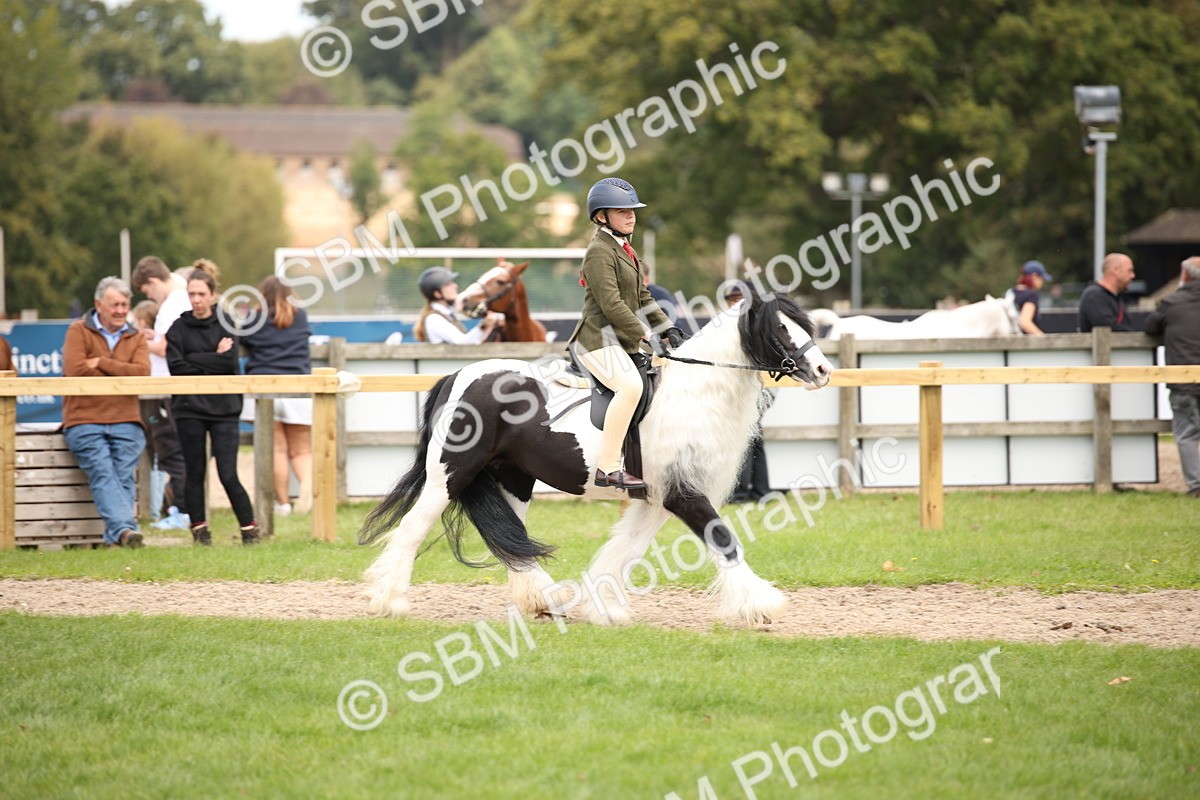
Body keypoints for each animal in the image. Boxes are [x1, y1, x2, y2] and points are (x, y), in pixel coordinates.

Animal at [359, 290, 834, 627]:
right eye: (781, 329)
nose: (823, 371)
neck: (694, 394)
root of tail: (458, 374)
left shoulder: (656, 498)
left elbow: (624, 549)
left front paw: (603, 608)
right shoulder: (682, 495)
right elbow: (723, 540)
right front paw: (760, 605)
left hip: (514, 480)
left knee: (510, 540)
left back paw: (543, 600)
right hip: (450, 474)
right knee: (413, 528)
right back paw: (390, 602)